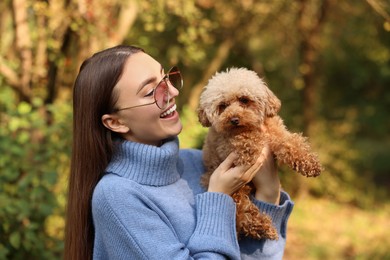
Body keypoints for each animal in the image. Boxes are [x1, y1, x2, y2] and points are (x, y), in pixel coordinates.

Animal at [197, 67, 322, 240]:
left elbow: (290, 142)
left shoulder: (276, 131)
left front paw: (309, 162)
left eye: (244, 100)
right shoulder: (227, 147)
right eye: (223, 106)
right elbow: (246, 140)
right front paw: (252, 143)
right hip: (230, 188)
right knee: (241, 213)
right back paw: (260, 226)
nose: (234, 119)